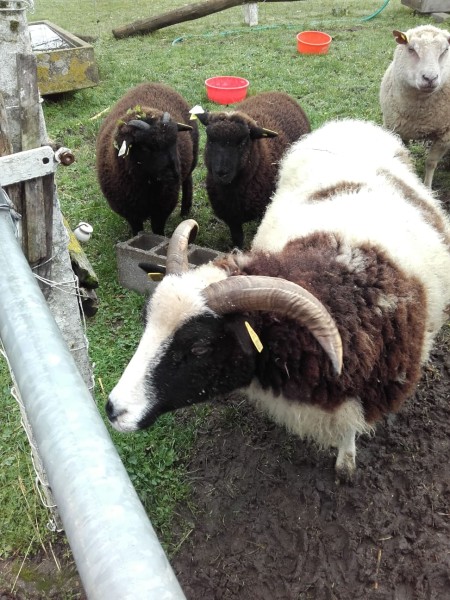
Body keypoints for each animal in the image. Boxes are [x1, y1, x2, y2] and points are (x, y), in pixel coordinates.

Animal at [96, 81, 198, 234]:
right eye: (145, 148)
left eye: (175, 142)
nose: (175, 176)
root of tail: (151, 83)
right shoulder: (130, 212)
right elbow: (137, 230)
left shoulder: (163, 207)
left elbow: (158, 230)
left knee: (188, 179)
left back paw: (185, 210)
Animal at [195, 89, 312, 248]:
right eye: (211, 140)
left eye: (243, 142)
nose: (221, 173)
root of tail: (277, 93)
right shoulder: (232, 217)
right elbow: (237, 239)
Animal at [382, 25, 450, 188]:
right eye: (411, 49)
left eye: (445, 50)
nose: (430, 78)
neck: (420, 116)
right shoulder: (397, 130)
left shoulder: (445, 135)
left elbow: (431, 163)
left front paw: (427, 187)